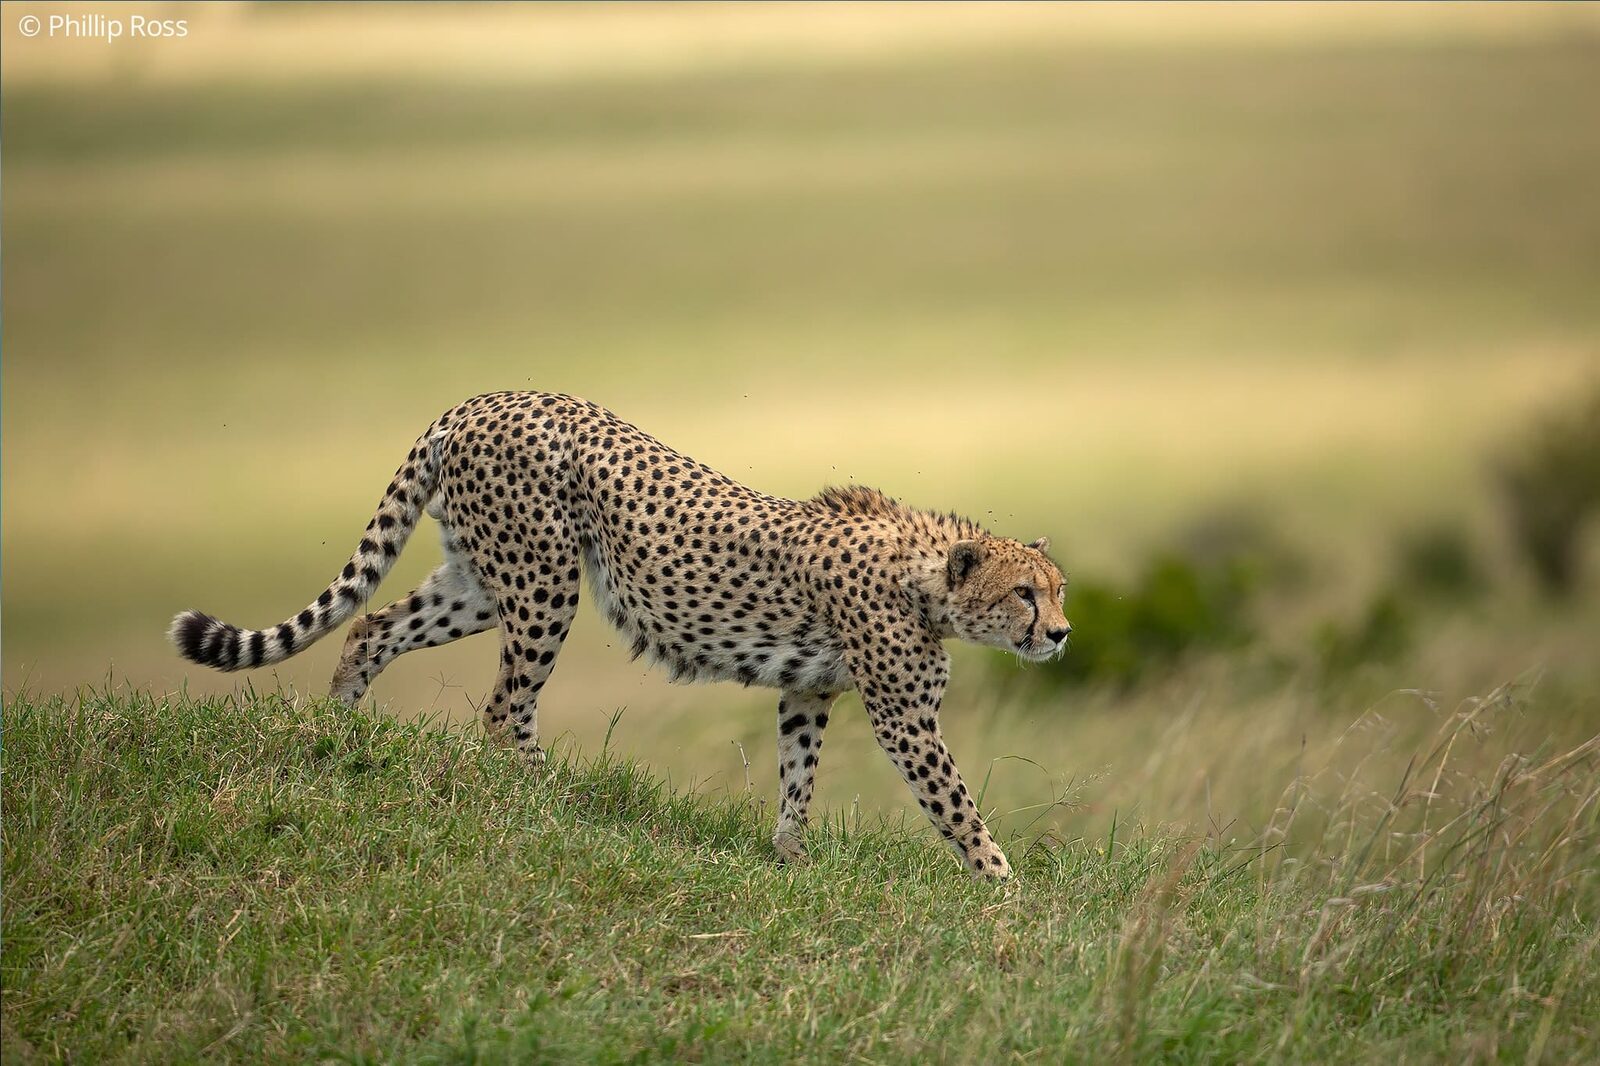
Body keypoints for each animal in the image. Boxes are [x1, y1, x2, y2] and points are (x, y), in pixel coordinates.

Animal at [169, 390, 1071, 878]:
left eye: (1058, 590)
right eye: (1023, 593)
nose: (1062, 634)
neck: (929, 578)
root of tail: (483, 399)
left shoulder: (807, 691)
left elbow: (798, 774)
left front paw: (790, 855)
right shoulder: (904, 717)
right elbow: (955, 805)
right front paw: (1004, 886)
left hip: (481, 581)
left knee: (373, 627)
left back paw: (341, 730)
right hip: (545, 581)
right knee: (503, 706)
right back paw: (548, 797)